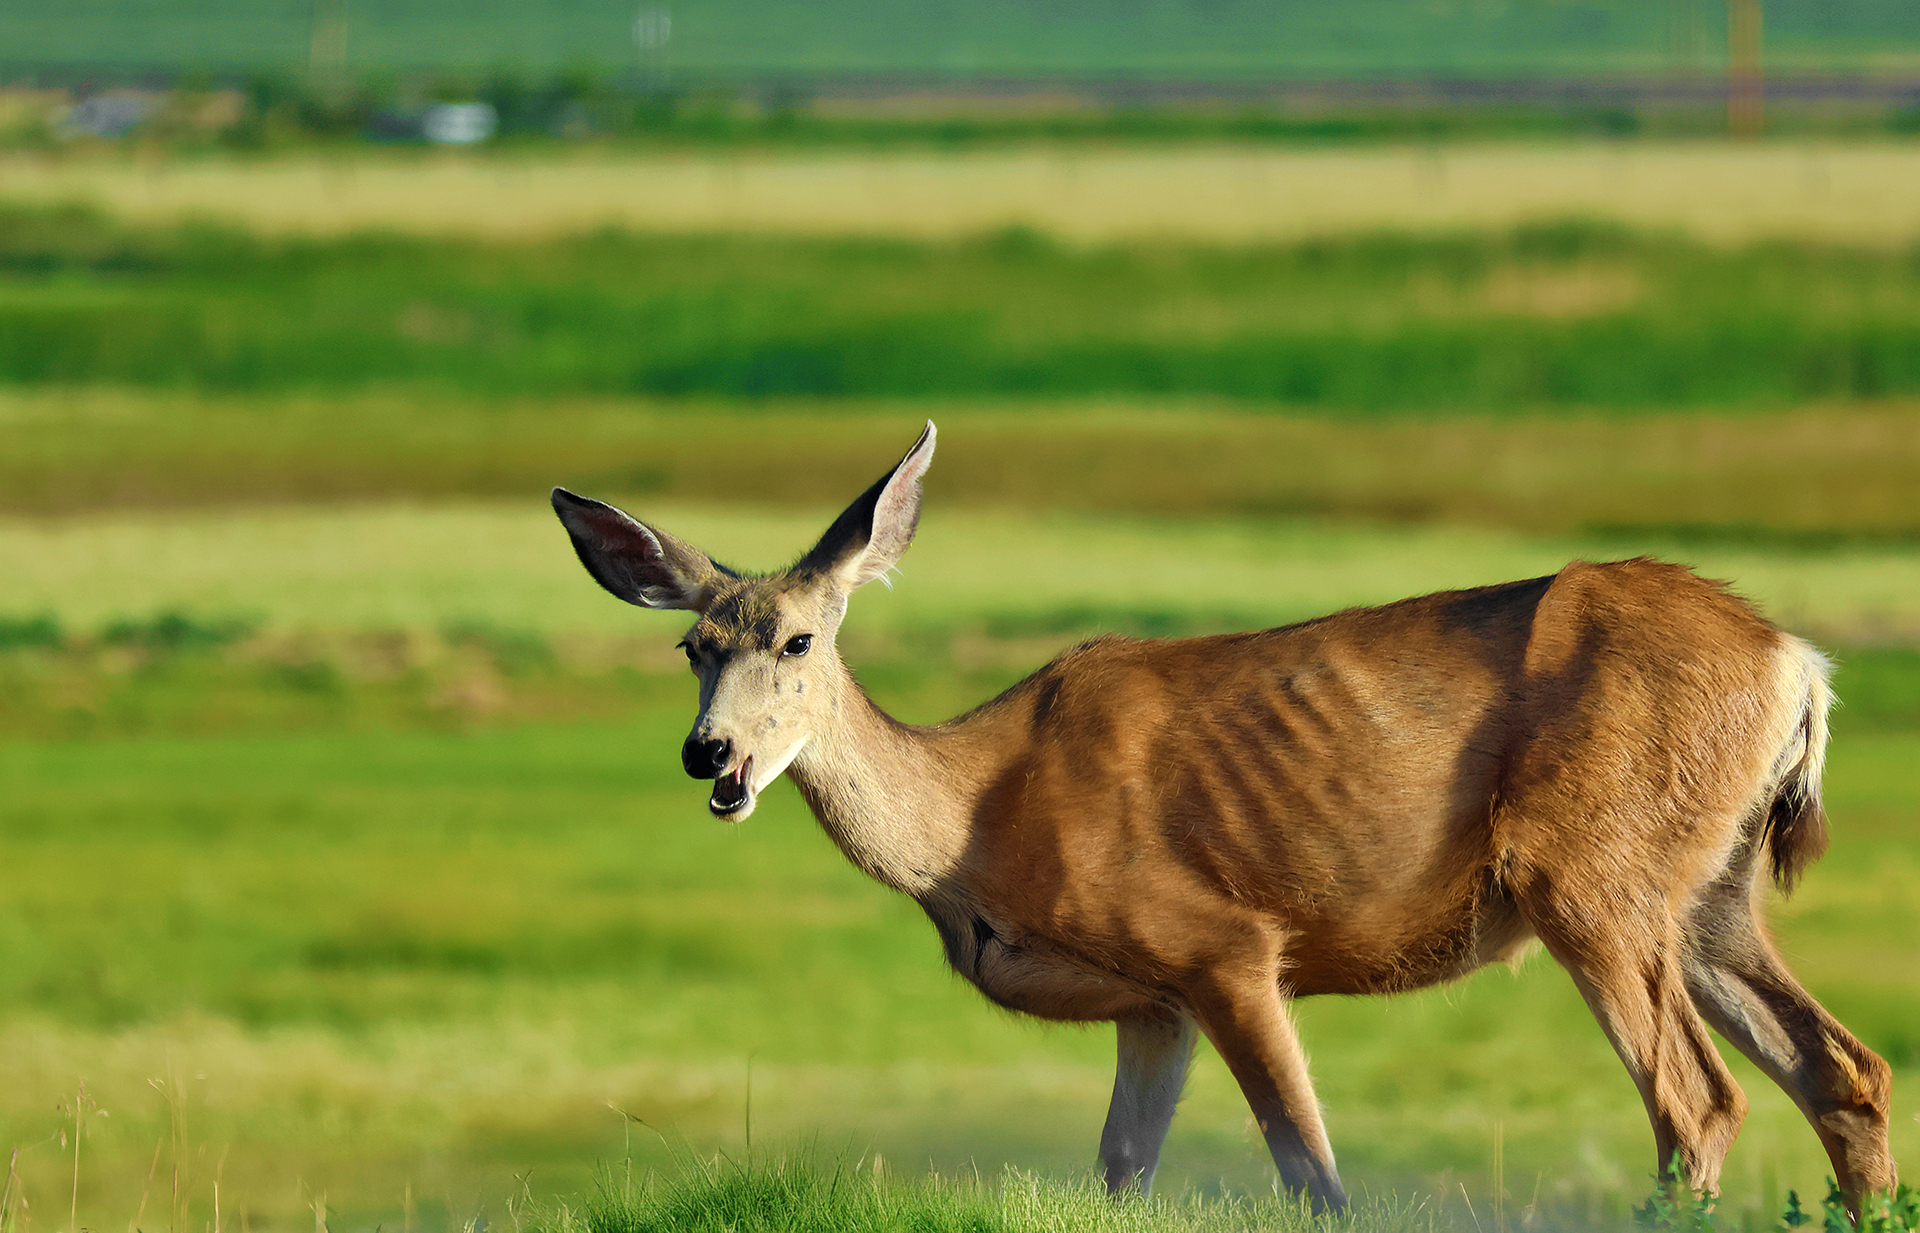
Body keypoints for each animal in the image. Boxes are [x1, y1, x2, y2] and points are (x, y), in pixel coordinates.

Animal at [550, 421, 1894, 1214]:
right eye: (690, 646)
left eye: (796, 640)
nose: (712, 754)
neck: (976, 826)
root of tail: (1798, 662)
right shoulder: (1154, 1002)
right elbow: (1120, 1175)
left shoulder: (1223, 944)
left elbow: (1312, 1173)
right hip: (1710, 885)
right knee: (1848, 1071)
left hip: (1588, 869)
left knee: (1698, 1100)